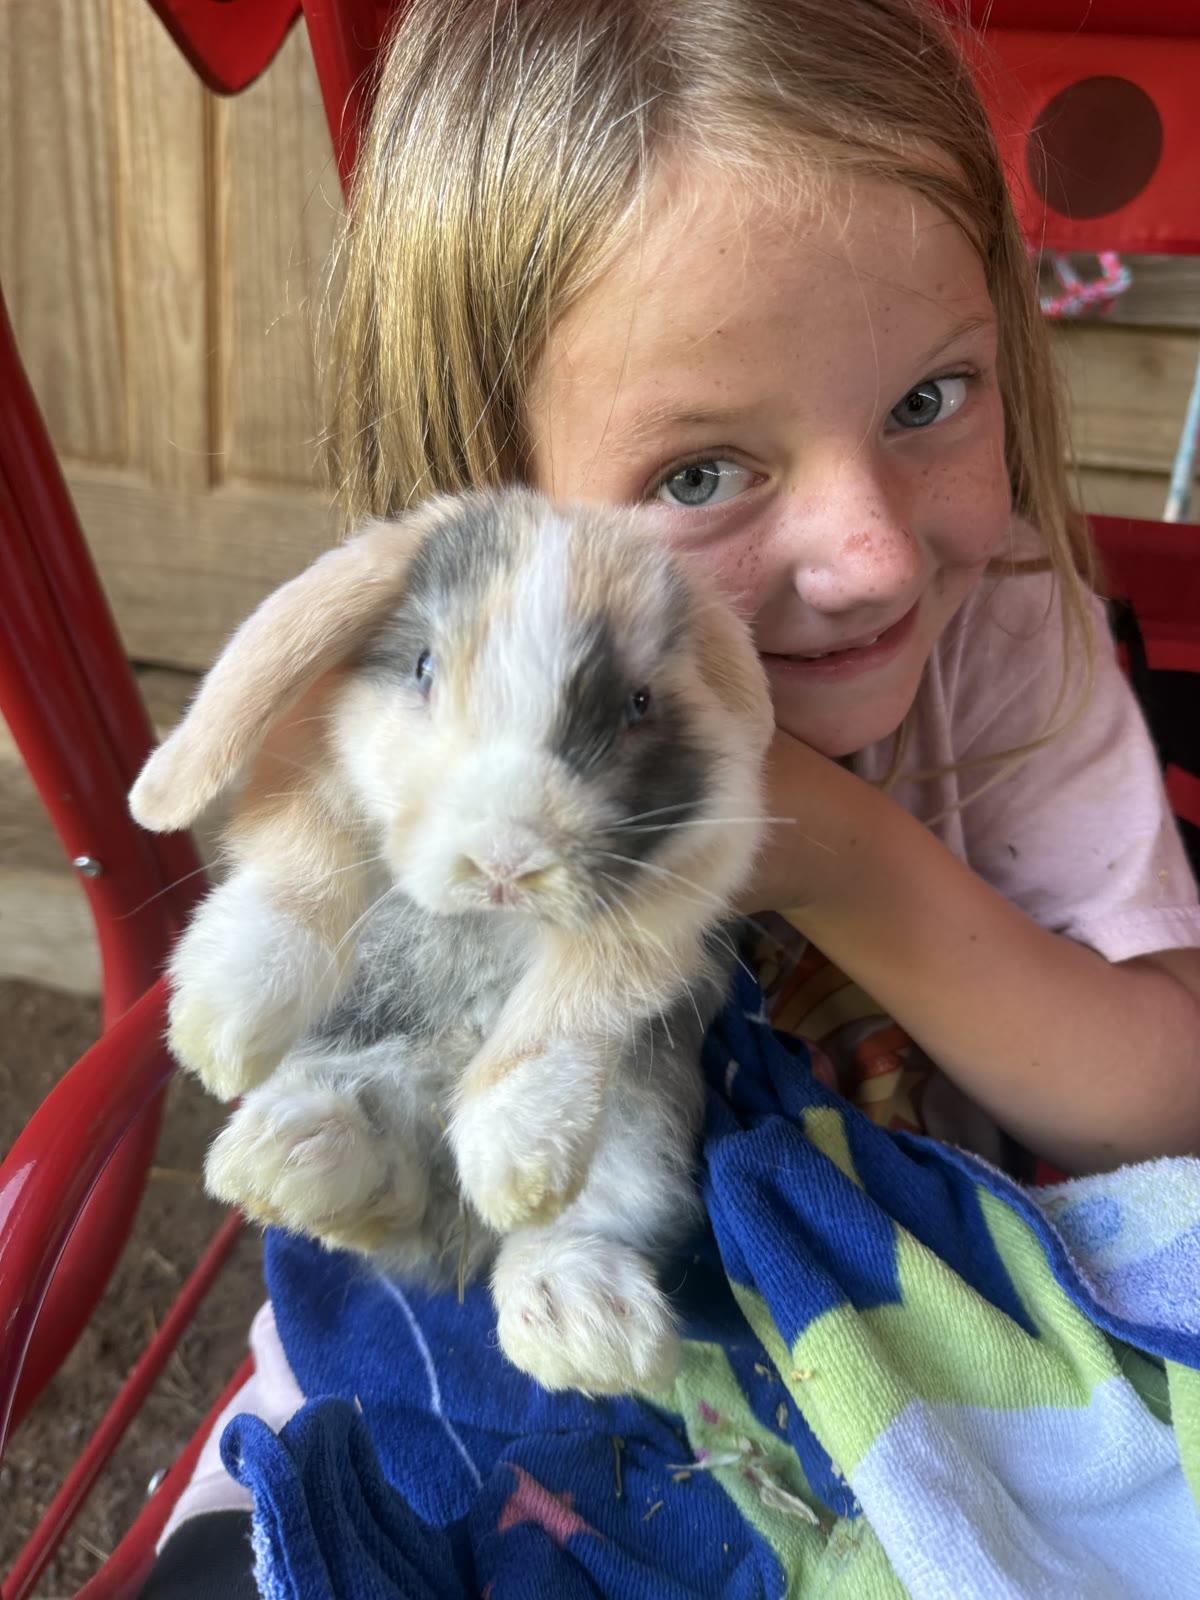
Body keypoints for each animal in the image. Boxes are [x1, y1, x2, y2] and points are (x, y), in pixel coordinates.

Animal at [130, 487, 774, 1393]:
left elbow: (570, 1007)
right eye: (423, 668)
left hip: (637, 1134)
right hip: (366, 1061)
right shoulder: (315, 783)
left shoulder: (661, 910)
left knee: (571, 1222)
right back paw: (292, 1160)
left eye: (638, 704)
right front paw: (219, 1030)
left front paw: (511, 1156)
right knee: (388, 1183)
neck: (489, 918)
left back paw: (582, 1323)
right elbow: (299, 878)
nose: (507, 860)